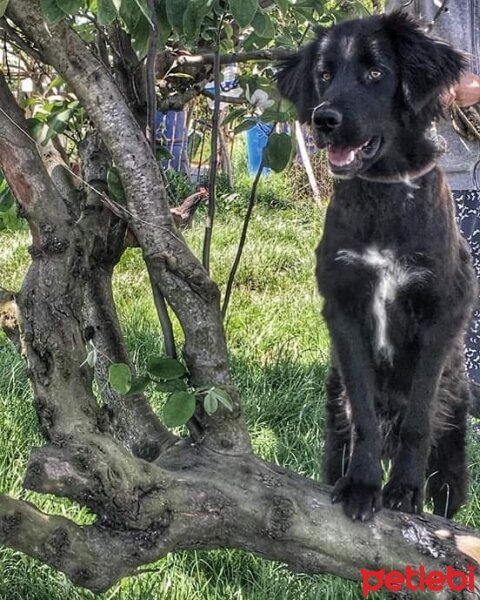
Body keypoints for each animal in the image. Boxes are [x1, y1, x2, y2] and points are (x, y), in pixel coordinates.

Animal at [278, 11, 476, 524]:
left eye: (374, 72)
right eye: (324, 74)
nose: (324, 120)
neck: (384, 195)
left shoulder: (441, 313)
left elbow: (417, 419)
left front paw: (403, 491)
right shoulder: (344, 310)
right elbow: (363, 412)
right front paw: (364, 486)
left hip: (453, 461)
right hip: (332, 432)